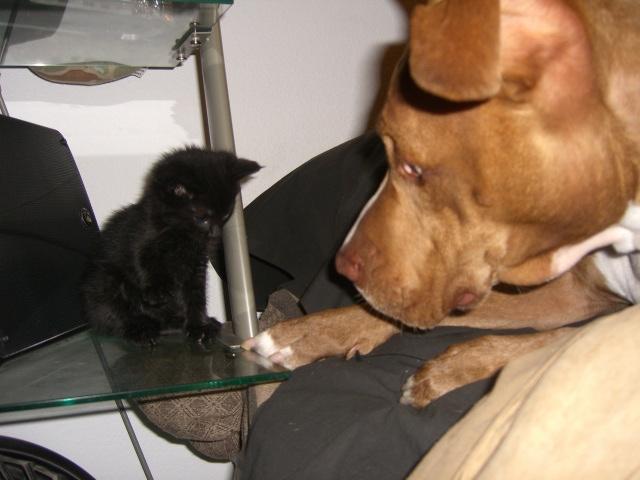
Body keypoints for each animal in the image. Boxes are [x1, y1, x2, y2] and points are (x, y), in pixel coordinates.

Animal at [82, 147, 261, 345]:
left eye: (226, 215)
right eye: (202, 218)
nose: (216, 234)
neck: (181, 232)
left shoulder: (197, 264)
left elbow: (195, 295)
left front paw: (199, 326)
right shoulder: (138, 238)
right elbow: (142, 261)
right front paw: (157, 290)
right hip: (107, 282)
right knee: (117, 315)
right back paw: (140, 329)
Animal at [245, 0, 640, 408]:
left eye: (412, 167)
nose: (343, 266)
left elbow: (561, 342)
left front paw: (448, 369)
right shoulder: (576, 294)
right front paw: (306, 334)